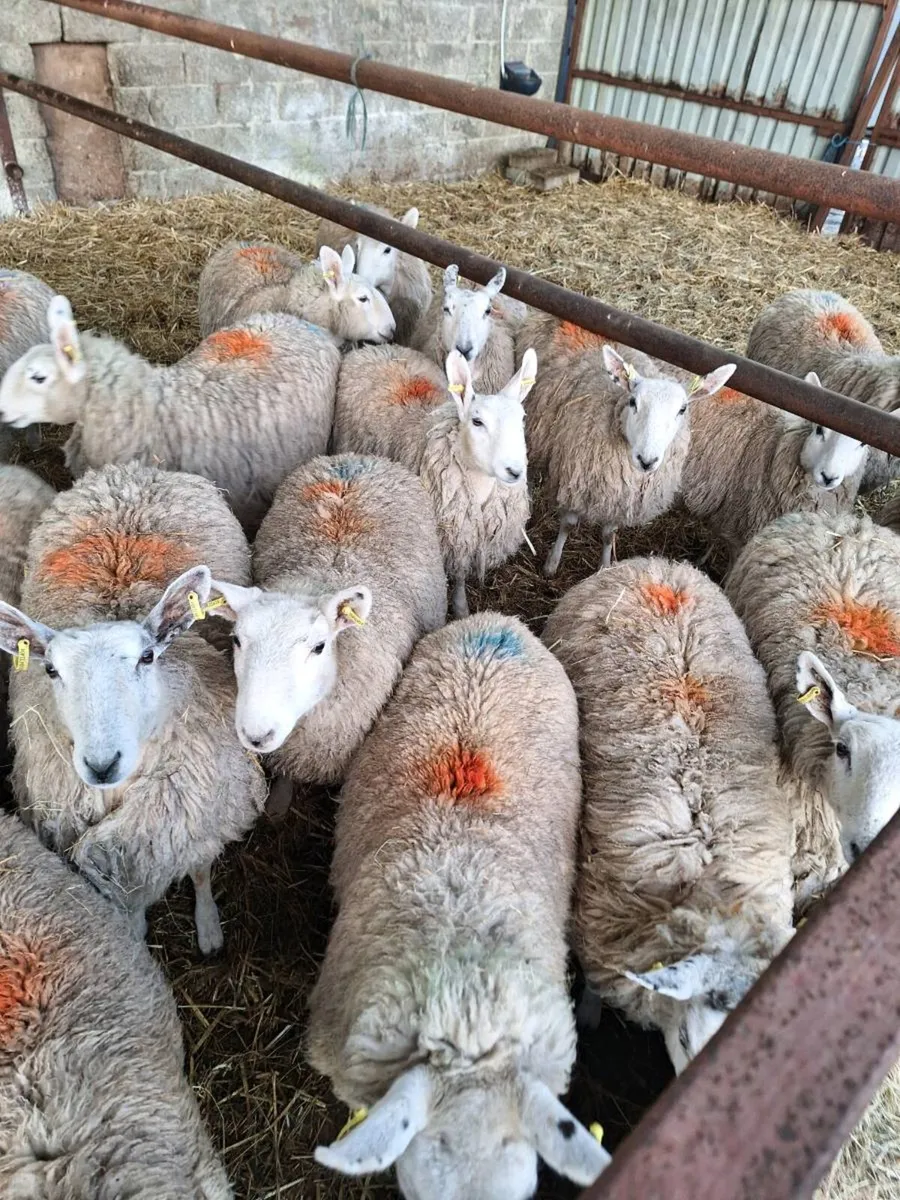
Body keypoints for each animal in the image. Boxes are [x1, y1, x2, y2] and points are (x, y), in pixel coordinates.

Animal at [0, 462, 265, 952]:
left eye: (147, 657)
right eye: (51, 670)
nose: (102, 763)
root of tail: (136, 470)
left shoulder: (197, 813)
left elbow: (200, 869)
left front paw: (208, 927)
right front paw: (135, 930)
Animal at [334, 344, 534, 618]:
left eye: (522, 419)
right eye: (477, 421)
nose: (514, 471)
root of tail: (377, 349)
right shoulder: (453, 539)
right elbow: (458, 576)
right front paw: (461, 608)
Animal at [534, 344, 735, 576]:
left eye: (682, 409)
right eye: (633, 401)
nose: (646, 460)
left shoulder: (620, 496)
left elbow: (608, 535)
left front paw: (605, 566)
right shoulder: (572, 481)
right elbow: (567, 524)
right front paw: (551, 564)